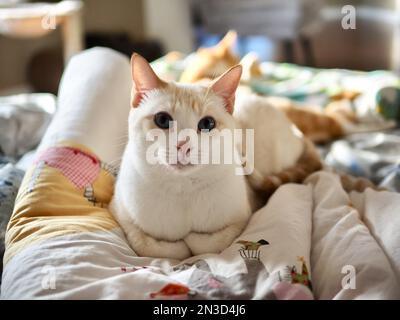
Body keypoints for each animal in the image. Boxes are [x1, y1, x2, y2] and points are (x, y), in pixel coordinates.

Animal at [109, 53, 304, 258]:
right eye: (162, 120)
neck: (183, 189)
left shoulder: (243, 217)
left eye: (207, 123)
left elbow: (206, 244)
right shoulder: (119, 212)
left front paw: (190, 239)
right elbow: (153, 246)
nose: (183, 145)